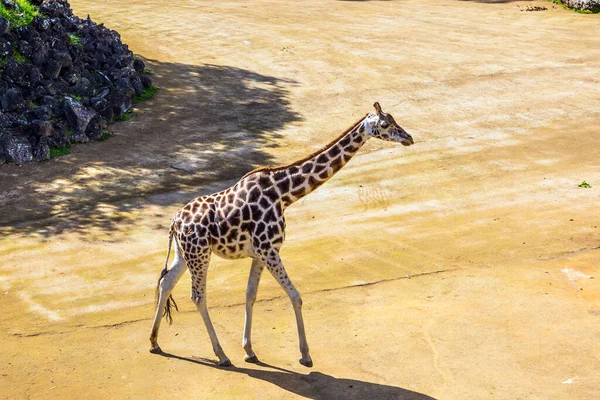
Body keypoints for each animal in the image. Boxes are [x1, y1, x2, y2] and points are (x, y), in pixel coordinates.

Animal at [148, 101, 414, 368]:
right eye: (385, 124)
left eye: (394, 120)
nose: (408, 138)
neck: (283, 194)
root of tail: (174, 222)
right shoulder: (269, 250)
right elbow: (295, 296)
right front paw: (305, 355)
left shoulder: (259, 253)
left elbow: (250, 295)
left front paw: (249, 350)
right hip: (199, 254)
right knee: (197, 296)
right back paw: (221, 355)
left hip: (185, 254)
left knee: (165, 283)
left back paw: (154, 342)